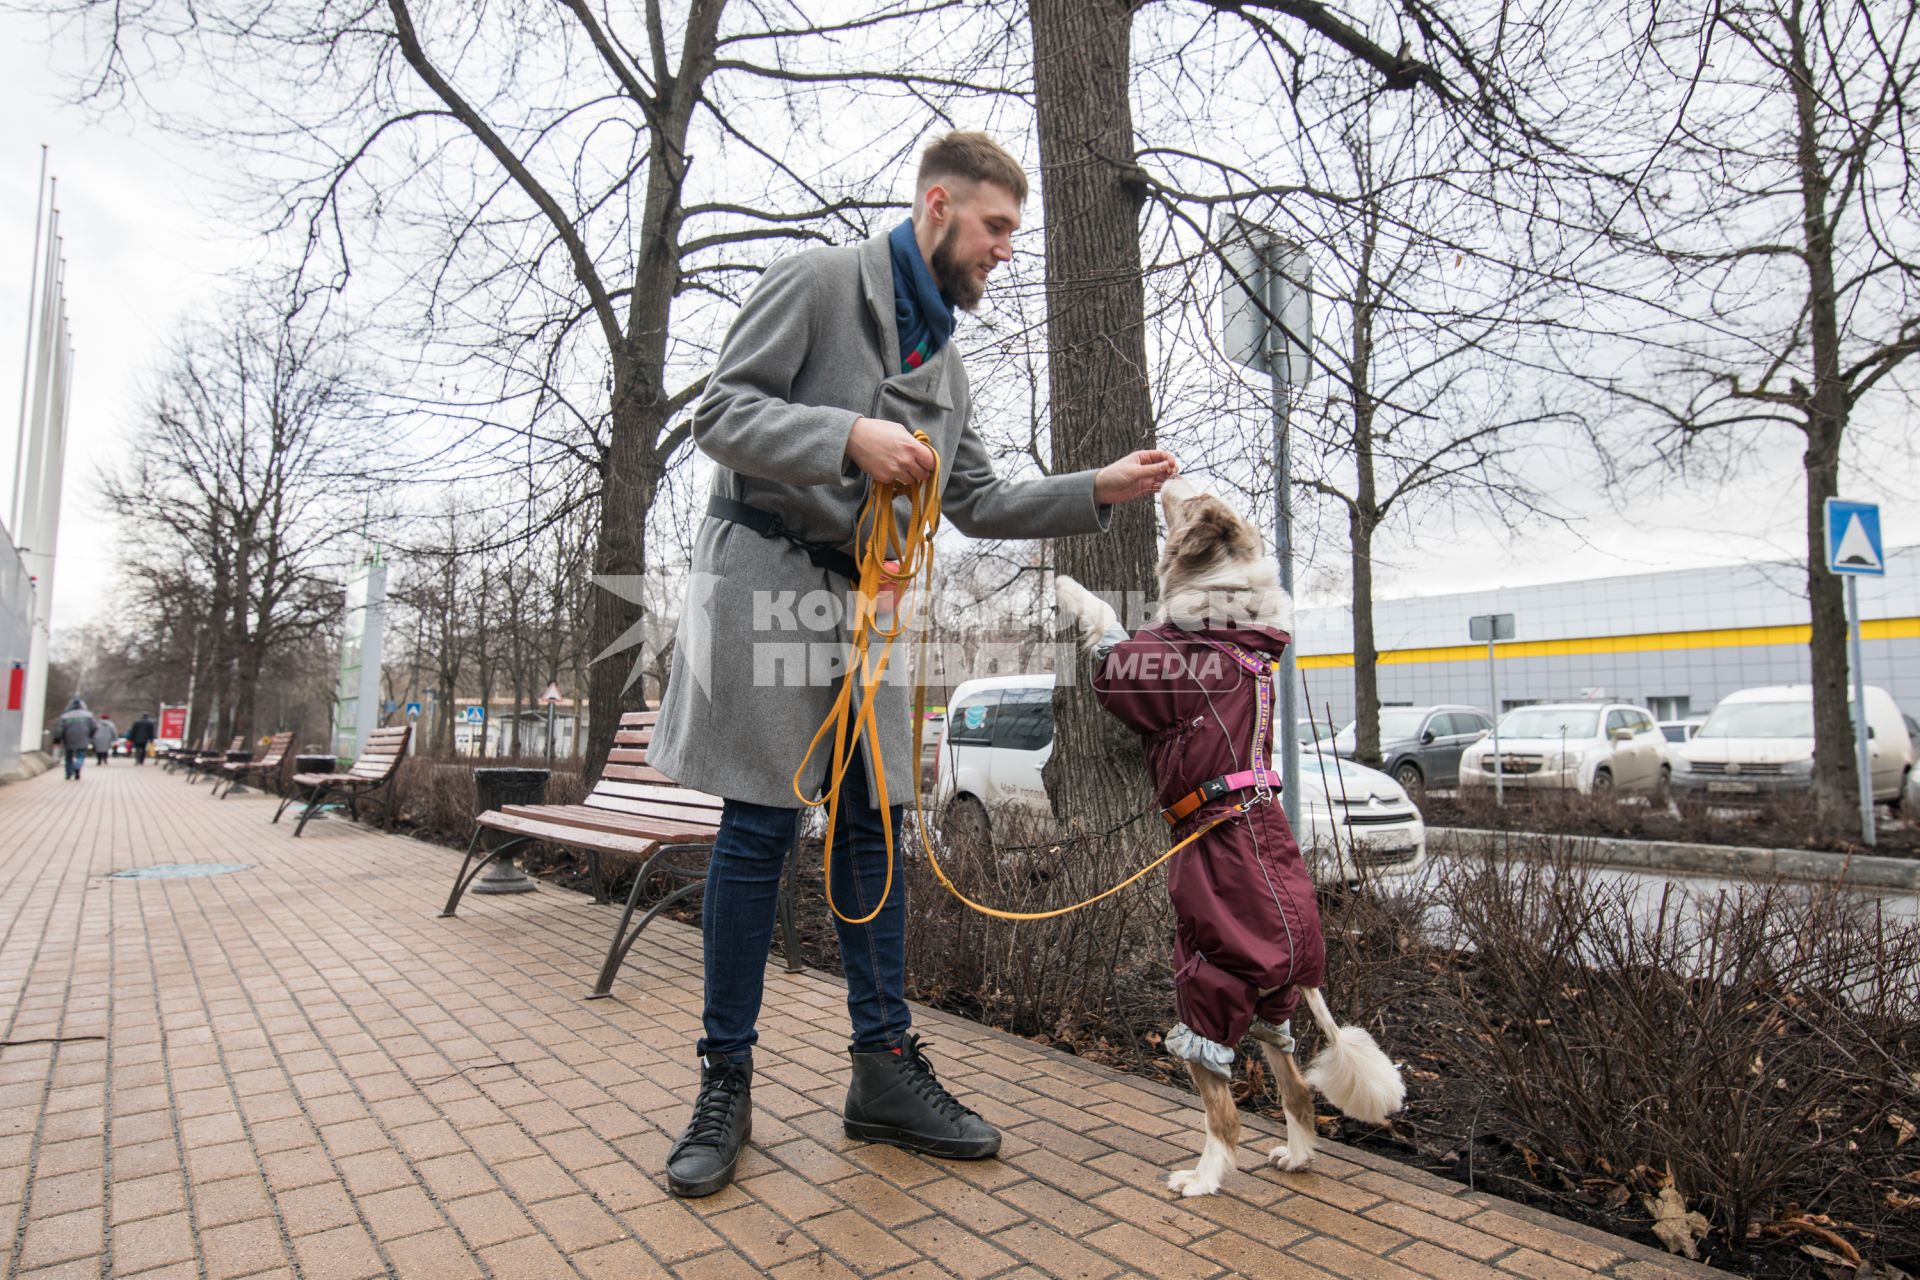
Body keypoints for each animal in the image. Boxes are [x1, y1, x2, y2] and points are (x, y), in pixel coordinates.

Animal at [1059, 475, 1405, 1197]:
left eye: (1191, 500)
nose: (1165, 471)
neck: (1233, 619)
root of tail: (1305, 962)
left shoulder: (1143, 672)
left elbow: (1107, 627)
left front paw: (1065, 584)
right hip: (1272, 1010)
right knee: (1298, 1090)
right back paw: (1296, 1156)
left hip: (1206, 993)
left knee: (1226, 1115)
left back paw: (1201, 1178)